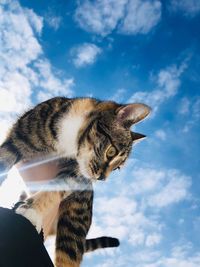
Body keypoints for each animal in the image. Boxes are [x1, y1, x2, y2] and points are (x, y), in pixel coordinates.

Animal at [0, 97, 150, 266]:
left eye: (117, 168)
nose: (101, 178)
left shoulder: (75, 173)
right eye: (111, 152)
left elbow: (56, 187)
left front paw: (32, 209)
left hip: (73, 224)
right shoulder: (18, 139)